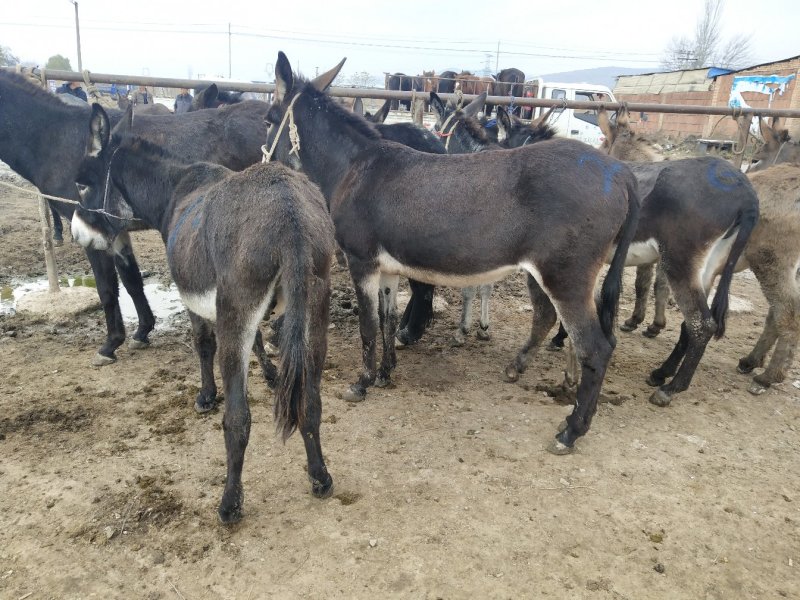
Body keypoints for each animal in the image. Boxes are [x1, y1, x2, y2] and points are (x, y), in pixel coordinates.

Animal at [0, 71, 269, 366]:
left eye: (81, 185)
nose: (75, 234)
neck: (51, 137)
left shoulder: (95, 232)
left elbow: (106, 288)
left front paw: (109, 345)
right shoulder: (113, 228)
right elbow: (132, 280)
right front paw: (142, 331)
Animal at [75, 104, 336, 524]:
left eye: (83, 185)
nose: (77, 234)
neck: (175, 188)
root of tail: (289, 216)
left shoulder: (196, 301)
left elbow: (202, 344)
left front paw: (206, 395)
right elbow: (259, 340)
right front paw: (269, 372)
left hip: (239, 309)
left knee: (238, 418)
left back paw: (230, 503)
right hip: (315, 305)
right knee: (310, 404)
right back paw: (319, 477)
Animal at [266, 51, 640, 454]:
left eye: (268, 120)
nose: (262, 164)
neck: (355, 168)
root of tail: (620, 171)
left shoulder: (361, 260)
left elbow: (368, 324)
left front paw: (362, 383)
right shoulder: (387, 268)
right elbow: (386, 318)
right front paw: (386, 372)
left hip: (565, 276)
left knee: (596, 348)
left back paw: (571, 431)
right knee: (559, 323)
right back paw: (526, 374)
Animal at [505, 106, 760, 407]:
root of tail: (745, 190)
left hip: (680, 262)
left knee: (702, 324)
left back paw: (670, 389)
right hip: (707, 268)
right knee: (691, 324)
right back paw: (661, 373)